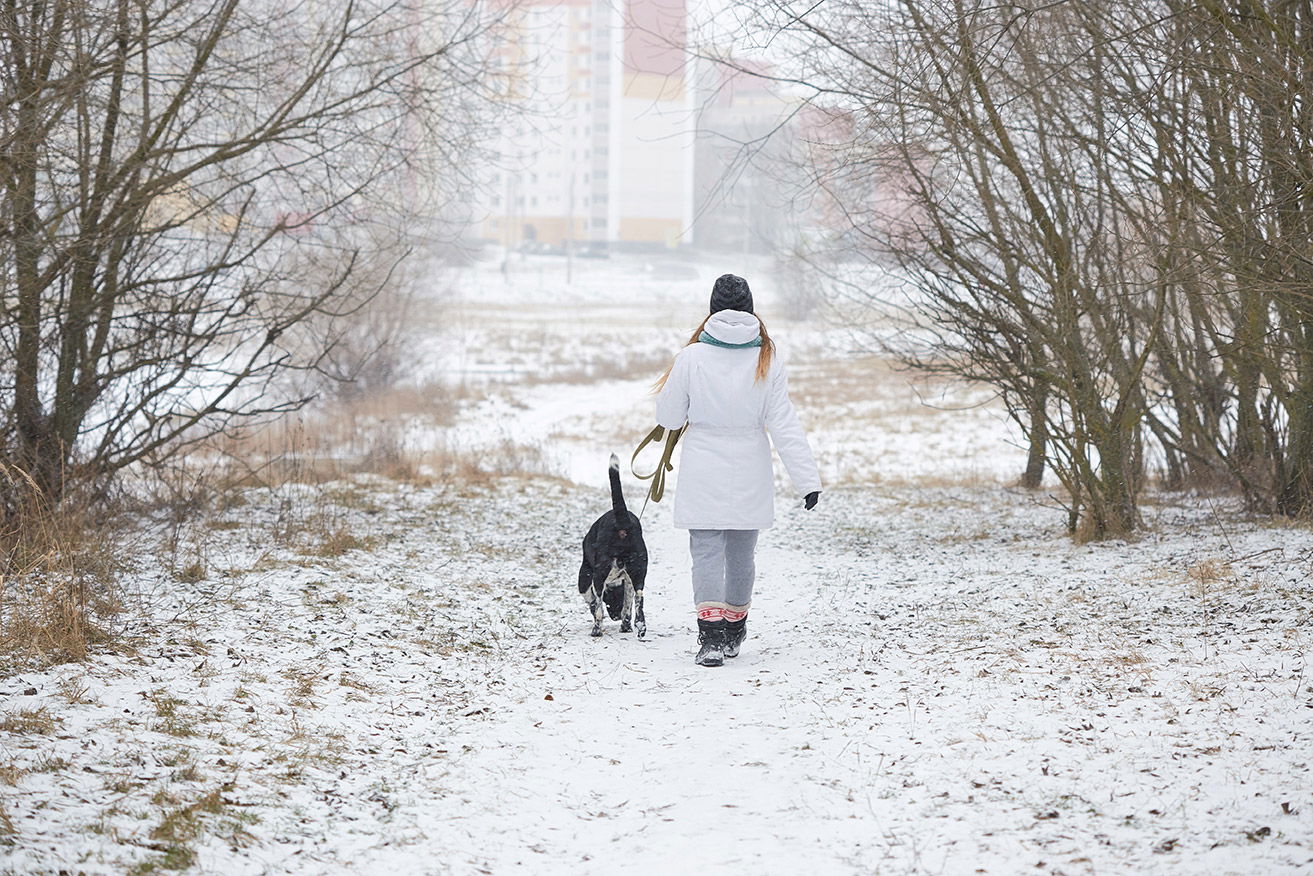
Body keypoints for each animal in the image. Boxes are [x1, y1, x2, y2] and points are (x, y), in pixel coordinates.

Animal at [580, 459, 651, 638]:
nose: (615, 617)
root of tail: (623, 523)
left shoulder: (585, 575)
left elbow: (593, 602)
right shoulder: (628, 582)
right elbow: (627, 605)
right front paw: (626, 625)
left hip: (598, 574)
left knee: (598, 609)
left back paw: (597, 630)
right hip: (639, 572)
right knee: (639, 601)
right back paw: (639, 627)